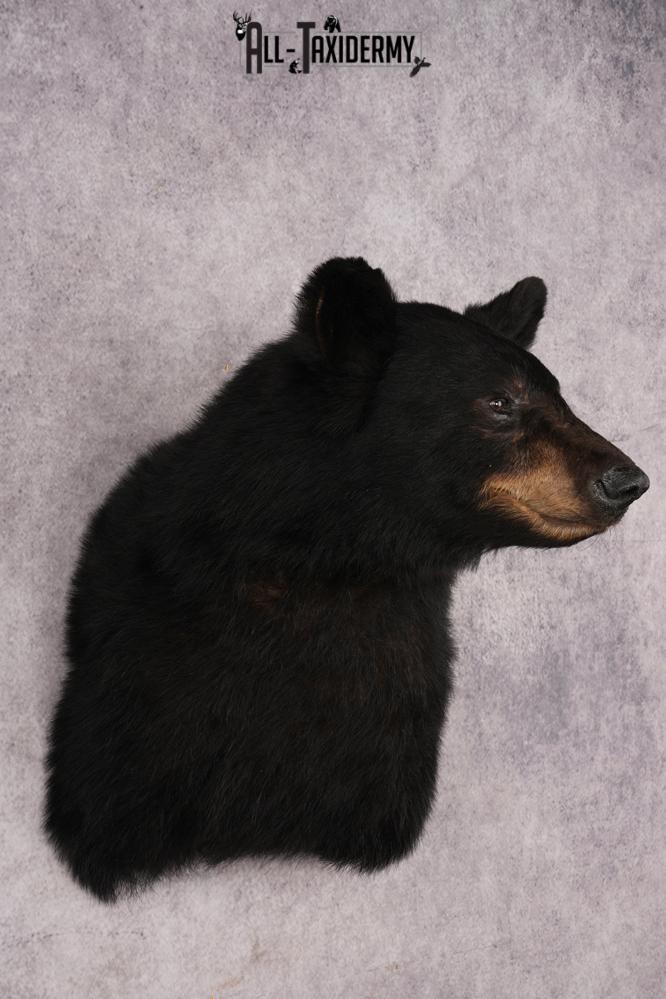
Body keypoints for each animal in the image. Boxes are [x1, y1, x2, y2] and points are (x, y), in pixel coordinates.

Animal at [43, 257, 649, 902]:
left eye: (560, 395)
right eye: (499, 401)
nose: (629, 481)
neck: (331, 566)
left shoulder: (390, 722)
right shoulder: (144, 707)